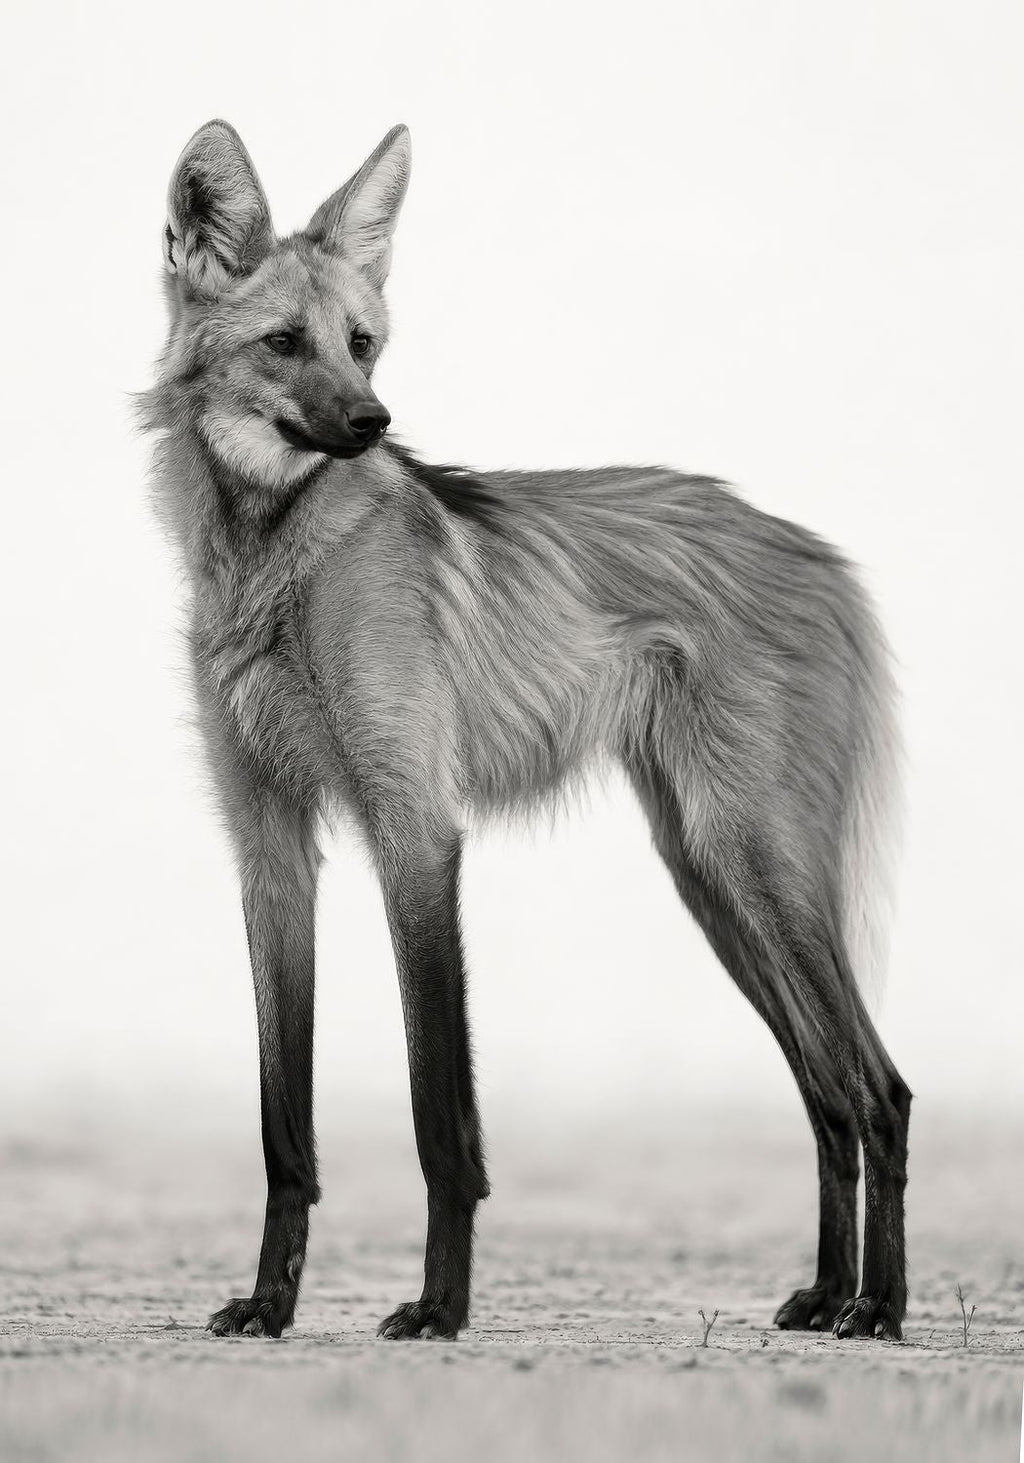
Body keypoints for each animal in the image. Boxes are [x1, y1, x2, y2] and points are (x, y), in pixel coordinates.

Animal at [141, 119, 910, 1344]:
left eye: (362, 344)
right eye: (283, 343)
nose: (373, 422)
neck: (273, 560)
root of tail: (821, 552)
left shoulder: (416, 832)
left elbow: (438, 1112)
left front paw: (439, 1306)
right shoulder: (270, 847)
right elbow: (281, 1124)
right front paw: (270, 1302)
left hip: (758, 863)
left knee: (878, 1087)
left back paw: (879, 1308)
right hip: (710, 874)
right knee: (828, 1093)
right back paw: (832, 1292)